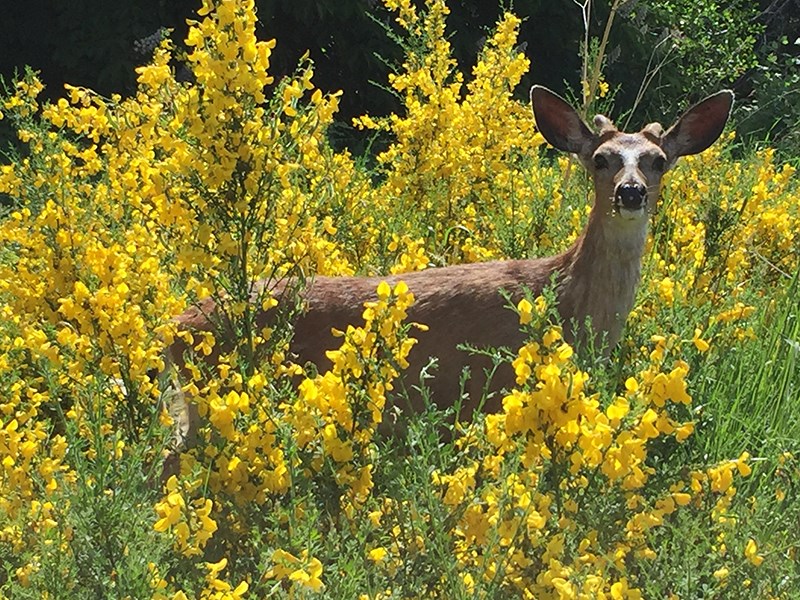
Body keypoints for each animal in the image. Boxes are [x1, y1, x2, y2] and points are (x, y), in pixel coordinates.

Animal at [162, 85, 732, 450]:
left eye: (658, 160)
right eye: (601, 159)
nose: (630, 192)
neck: (566, 298)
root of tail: (176, 323)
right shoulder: (494, 393)